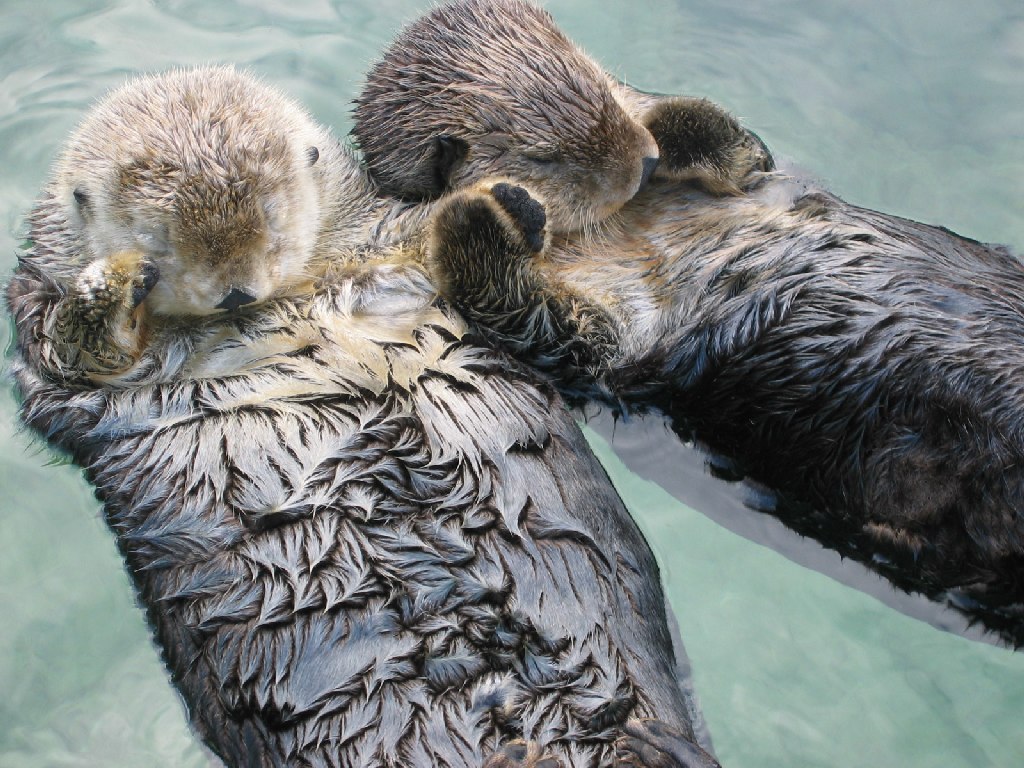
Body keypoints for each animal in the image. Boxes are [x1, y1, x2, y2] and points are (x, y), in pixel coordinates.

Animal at [12, 66, 724, 768]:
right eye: (158, 242)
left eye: (272, 217)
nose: (236, 291)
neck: (290, 298)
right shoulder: (52, 352)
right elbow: (74, 350)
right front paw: (113, 280)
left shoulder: (385, 244)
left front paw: (506, 200)